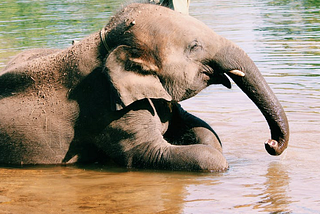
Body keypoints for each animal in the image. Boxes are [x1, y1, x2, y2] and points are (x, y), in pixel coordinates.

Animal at [0, 2, 288, 171]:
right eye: (194, 46)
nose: (270, 144)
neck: (106, 43)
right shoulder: (108, 109)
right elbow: (148, 153)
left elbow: (201, 131)